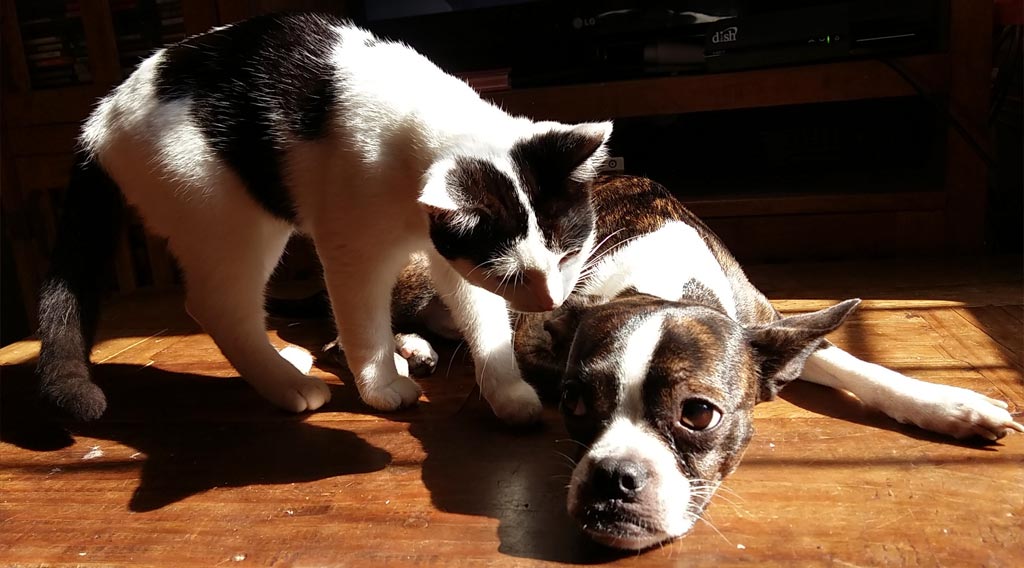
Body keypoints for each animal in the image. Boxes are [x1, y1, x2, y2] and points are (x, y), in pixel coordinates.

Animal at [39, 13, 610, 423]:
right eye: (516, 276)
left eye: (567, 254)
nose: (551, 300)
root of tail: (100, 117)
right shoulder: (352, 249)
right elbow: (363, 323)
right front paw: (381, 386)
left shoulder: (451, 255)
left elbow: (482, 316)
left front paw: (507, 391)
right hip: (232, 218)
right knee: (218, 307)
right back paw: (287, 383)